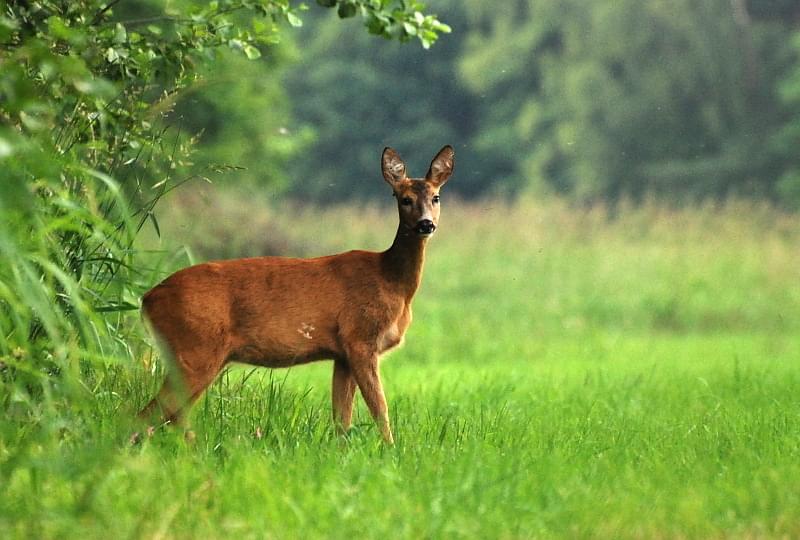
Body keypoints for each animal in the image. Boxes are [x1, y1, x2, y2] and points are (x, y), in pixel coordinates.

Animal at [139, 144, 456, 442]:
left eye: (436, 197)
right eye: (404, 199)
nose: (426, 224)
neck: (390, 280)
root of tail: (147, 299)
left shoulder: (341, 353)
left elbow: (342, 419)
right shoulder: (360, 337)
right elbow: (380, 409)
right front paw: (390, 450)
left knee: (170, 417)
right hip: (195, 349)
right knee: (148, 414)